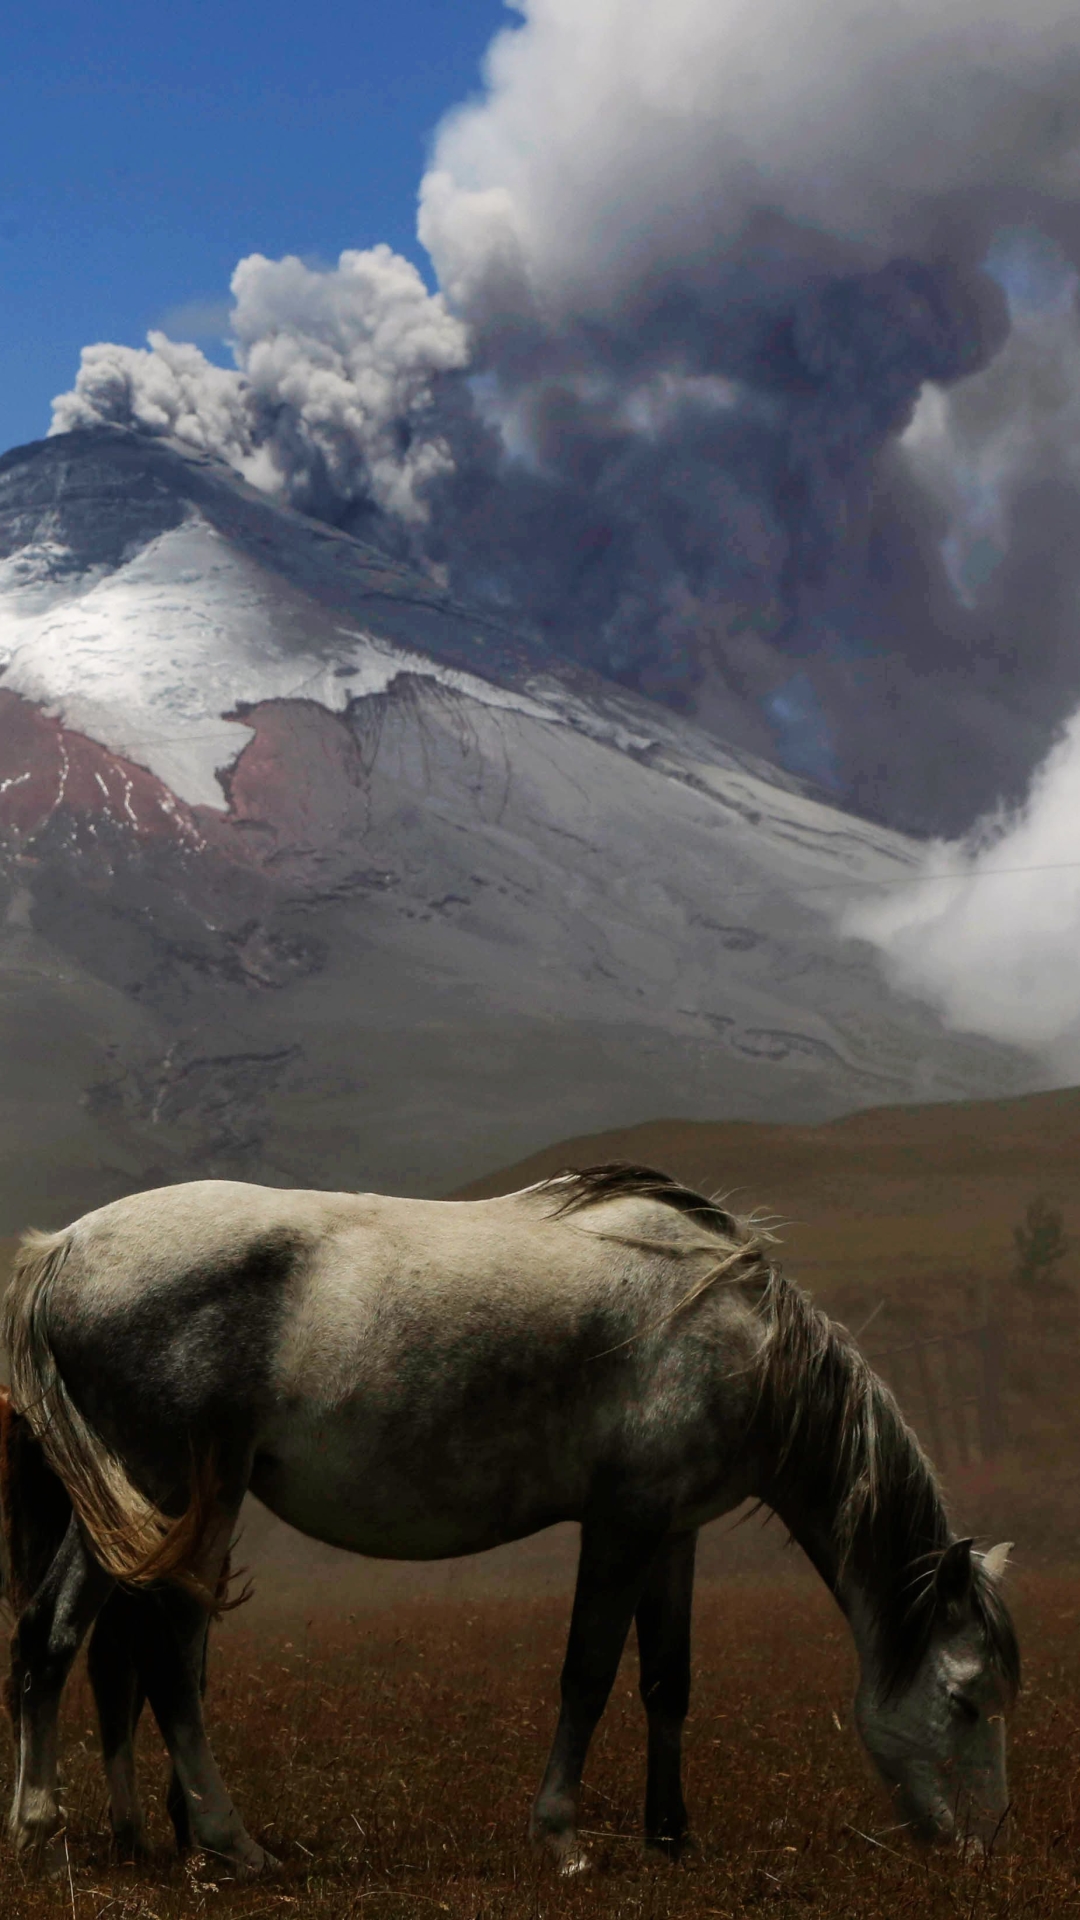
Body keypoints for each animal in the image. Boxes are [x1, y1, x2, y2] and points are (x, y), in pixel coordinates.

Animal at [0, 1167, 1014, 1873]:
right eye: (967, 1700)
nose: (983, 1848)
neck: (738, 1338)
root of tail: (65, 1249)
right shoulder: (622, 1525)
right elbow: (588, 1675)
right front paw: (562, 1837)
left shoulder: (674, 1534)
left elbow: (667, 1683)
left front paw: (671, 1836)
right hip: (167, 1494)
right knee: (156, 1654)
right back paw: (217, 1839)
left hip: (130, 1508)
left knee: (54, 1637)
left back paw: (49, 1826)